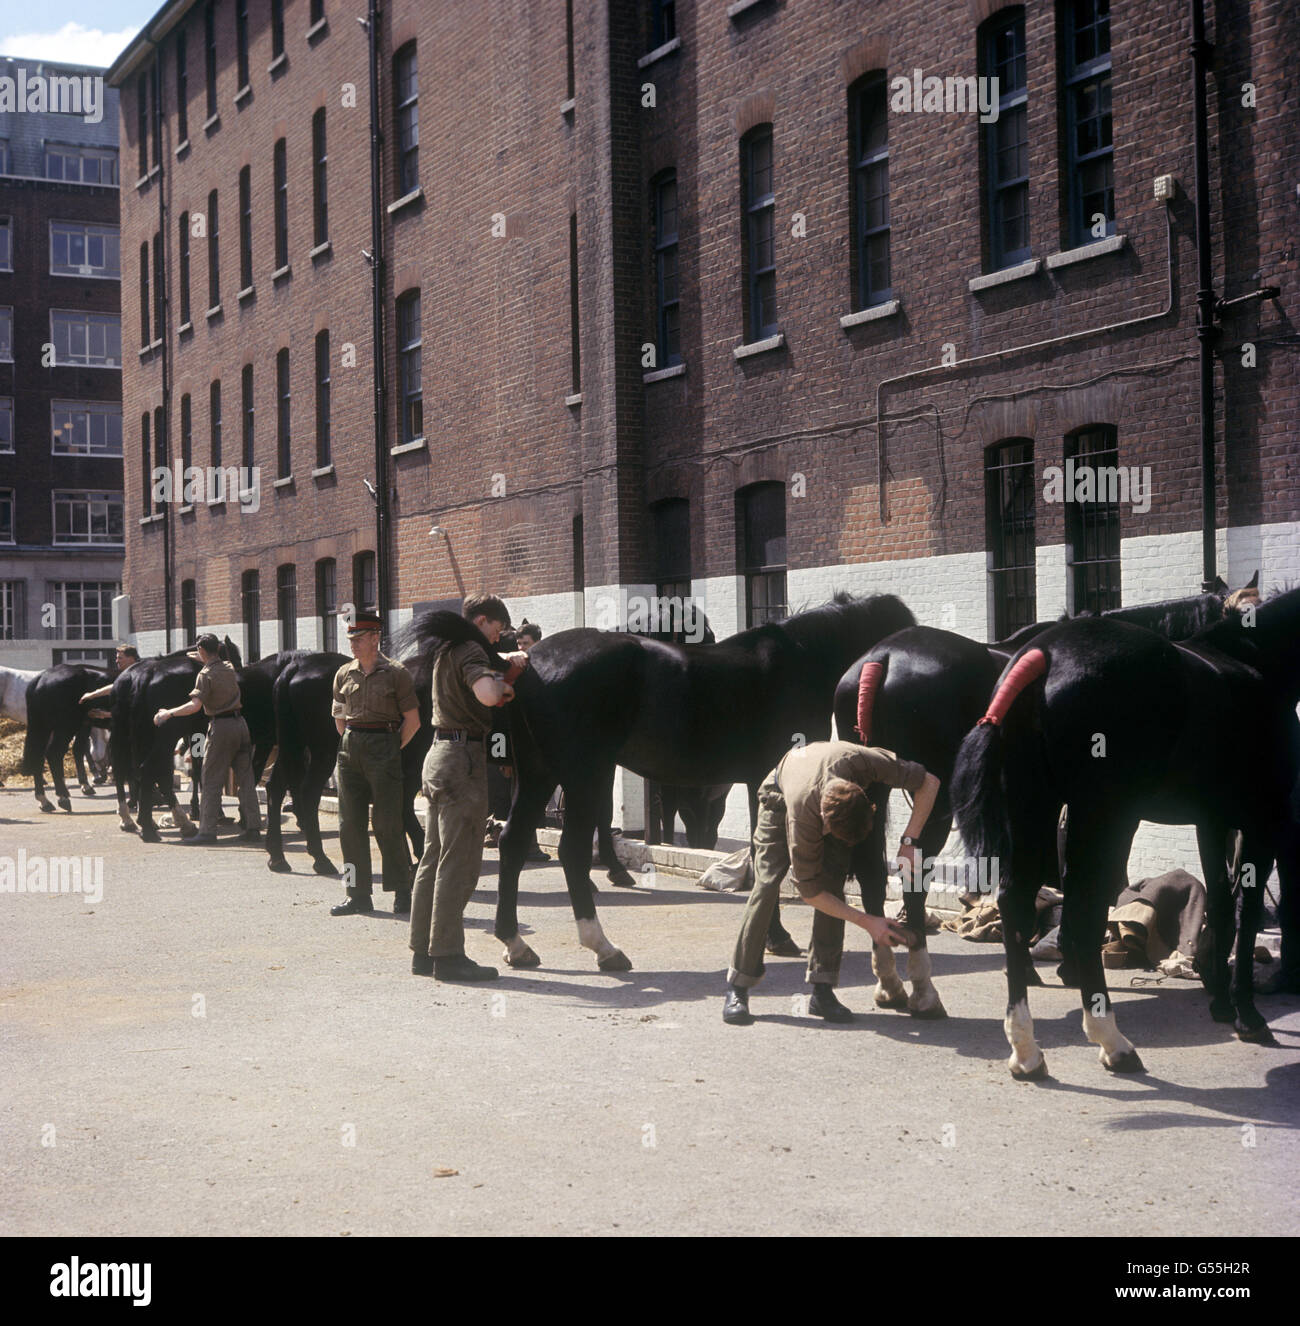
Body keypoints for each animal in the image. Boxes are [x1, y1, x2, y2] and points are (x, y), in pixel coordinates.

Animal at [21, 668, 111, 811]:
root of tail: (43, 677)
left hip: (46, 728)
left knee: (39, 757)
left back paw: (44, 801)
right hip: (66, 727)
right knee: (54, 754)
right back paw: (63, 797)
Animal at [395, 596, 912, 970]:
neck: (797, 663)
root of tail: (526, 663)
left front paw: (773, 936)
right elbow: (770, 857)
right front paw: (779, 937)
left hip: (542, 776)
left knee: (513, 842)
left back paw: (515, 943)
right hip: (584, 775)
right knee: (572, 851)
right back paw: (602, 947)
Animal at [944, 588, 1300, 1076]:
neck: (1255, 660)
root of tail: (1043, 655)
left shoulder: (1212, 820)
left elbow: (1223, 903)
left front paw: (1222, 1001)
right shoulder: (1262, 818)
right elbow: (1246, 912)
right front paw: (1247, 1013)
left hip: (1037, 808)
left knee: (1019, 904)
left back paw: (1026, 1049)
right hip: (1106, 815)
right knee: (1085, 911)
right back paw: (1111, 1040)